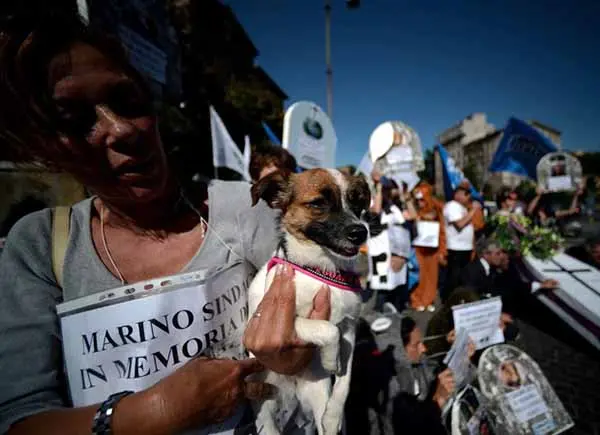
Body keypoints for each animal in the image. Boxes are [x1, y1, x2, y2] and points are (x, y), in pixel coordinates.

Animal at [248, 169, 370, 435]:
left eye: (357, 201)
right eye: (317, 204)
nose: (361, 232)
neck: (323, 269)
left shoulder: (350, 329)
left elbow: (344, 384)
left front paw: (334, 417)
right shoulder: (277, 324)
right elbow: (328, 328)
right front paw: (330, 359)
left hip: (317, 389)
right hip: (265, 412)